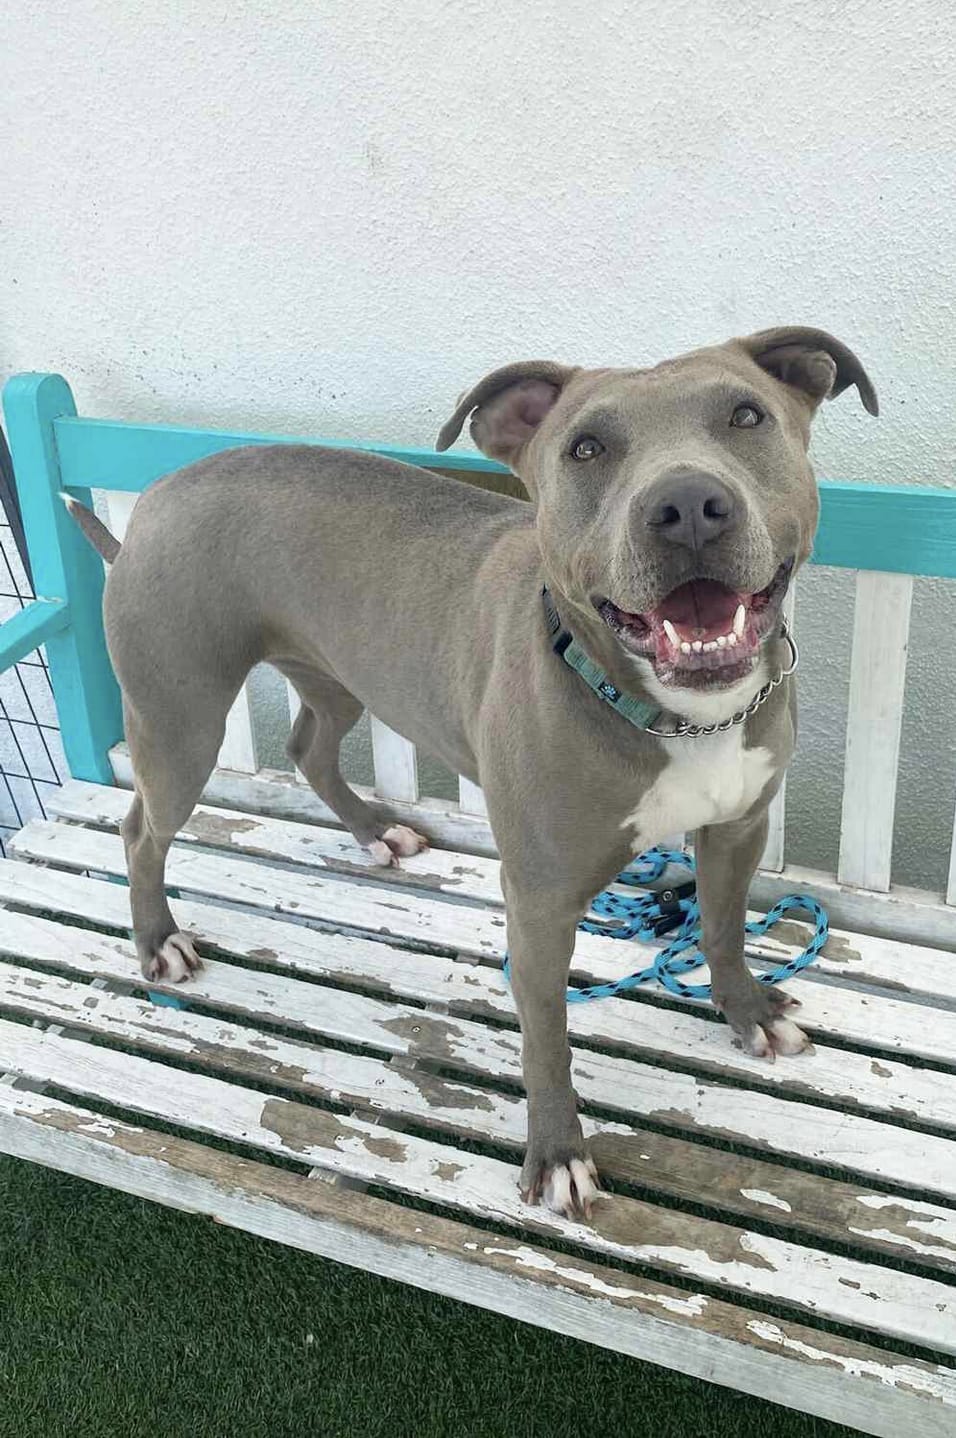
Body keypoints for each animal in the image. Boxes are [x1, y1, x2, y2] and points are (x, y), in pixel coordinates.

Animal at [66, 325, 877, 1220]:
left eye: (746, 416)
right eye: (585, 447)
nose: (689, 506)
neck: (676, 715)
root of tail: (152, 501)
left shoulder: (737, 830)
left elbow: (725, 931)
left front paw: (746, 1011)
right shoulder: (541, 905)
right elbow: (548, 1036)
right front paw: (558, 1154)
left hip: (336, 674)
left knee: (310, 747)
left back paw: (375, 833)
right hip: (181, 724)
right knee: (141, 829)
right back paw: (159, 942)